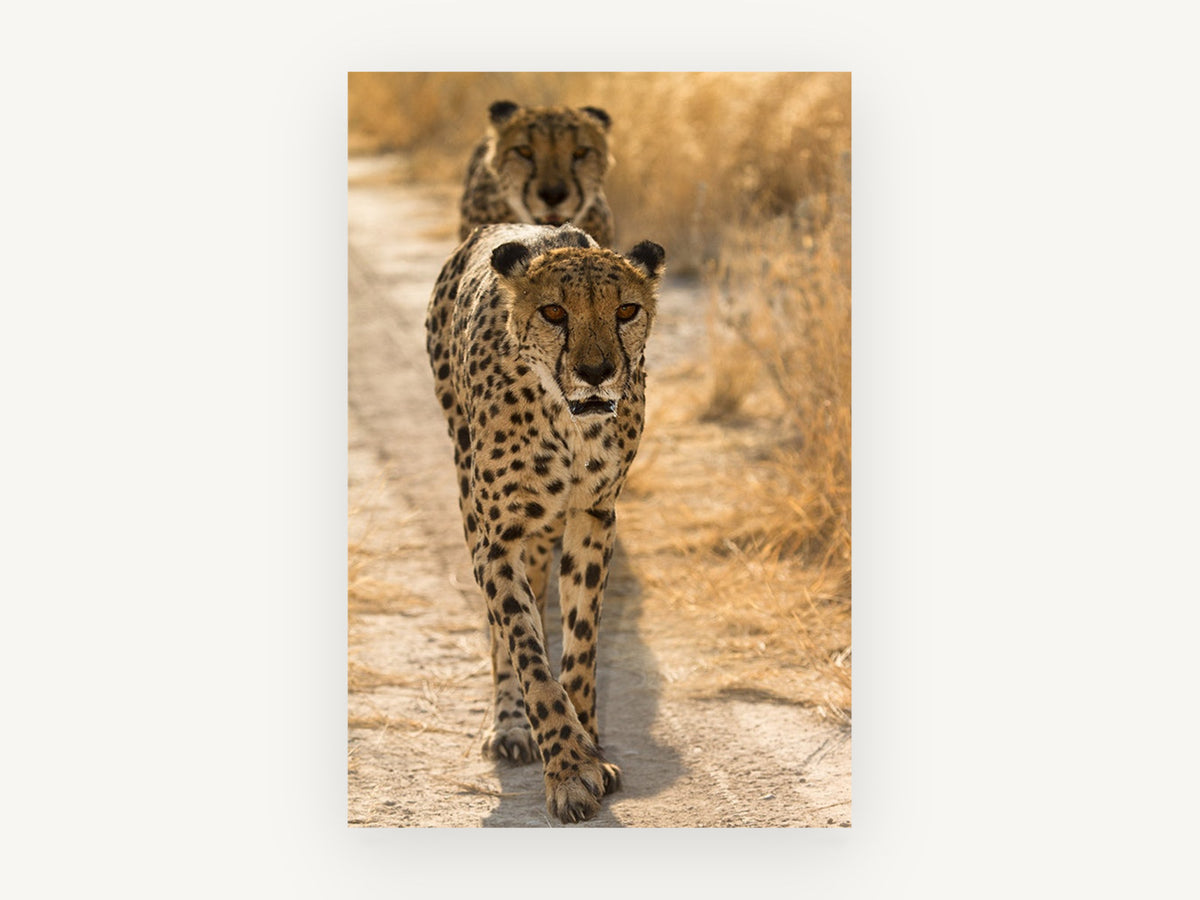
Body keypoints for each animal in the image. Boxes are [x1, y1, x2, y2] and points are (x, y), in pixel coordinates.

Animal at [425, 222, 665, 823]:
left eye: (626, 310)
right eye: (554, 312)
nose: (596, 371)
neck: (568, 420)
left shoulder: (594, 515)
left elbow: (580, 643)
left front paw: (590, 749)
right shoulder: (497, 539)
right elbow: (527, 651)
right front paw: (569, 768)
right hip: (468, 491)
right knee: (502, 633)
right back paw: (511, 725)